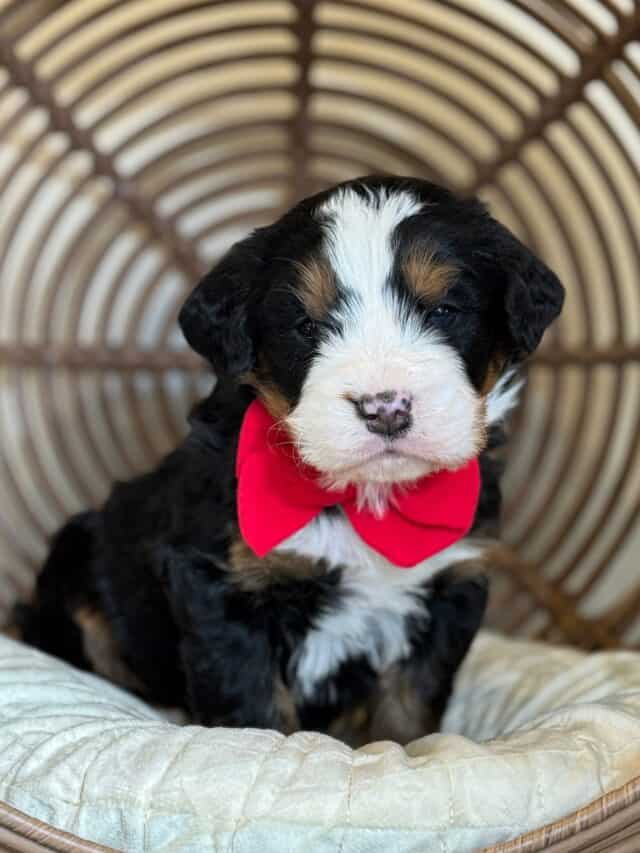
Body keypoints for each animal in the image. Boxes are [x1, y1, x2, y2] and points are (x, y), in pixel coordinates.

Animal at [16, 175, 564, 744]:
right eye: (306, 326)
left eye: (443, 312)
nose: (384, 408)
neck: (365, 498)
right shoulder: (223, 583)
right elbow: (253, 706)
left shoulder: (449, 585)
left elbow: (411, 706)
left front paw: (411, 752)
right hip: (78, 559)